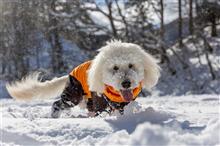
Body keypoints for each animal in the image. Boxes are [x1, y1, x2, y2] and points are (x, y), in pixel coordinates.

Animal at [5, 40, 160, 117]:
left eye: (131, 65)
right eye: (115, 68)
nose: (126, 83)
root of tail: (70, 73)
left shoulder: (126, 103)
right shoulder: (100, 103)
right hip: (74, 95)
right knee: (57, 103)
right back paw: (55, 116)